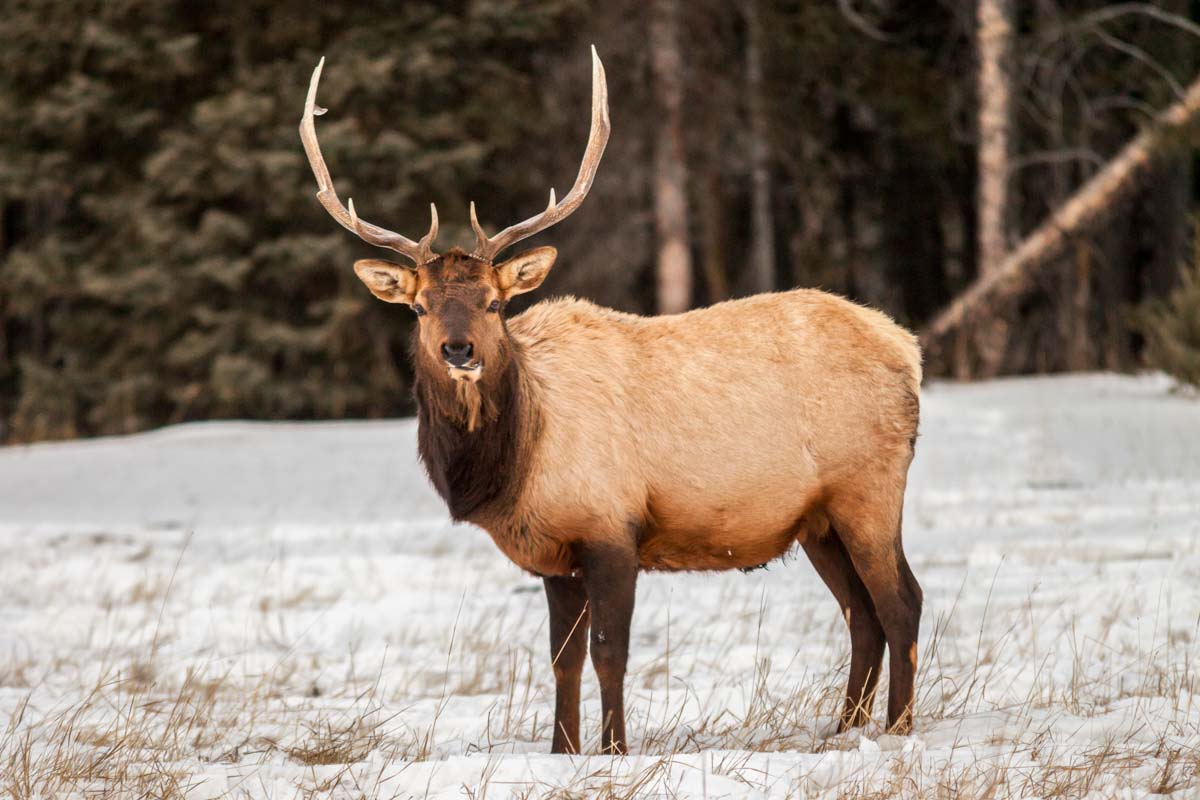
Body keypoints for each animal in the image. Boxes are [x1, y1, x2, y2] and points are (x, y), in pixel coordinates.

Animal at [300, 48, 923, 755]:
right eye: (420, 307)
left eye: (495, 302)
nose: (460, 350)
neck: (516, 462)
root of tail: (908, 350)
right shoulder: (553, 551)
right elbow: (561, 658)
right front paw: (562, 750)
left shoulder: (612, 527)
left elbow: (609, 652)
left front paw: (614, 749)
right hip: (817, 519)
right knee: (861, 614)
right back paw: (843, 731)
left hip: (868, 487)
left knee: (900, 602)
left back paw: (898, 729)